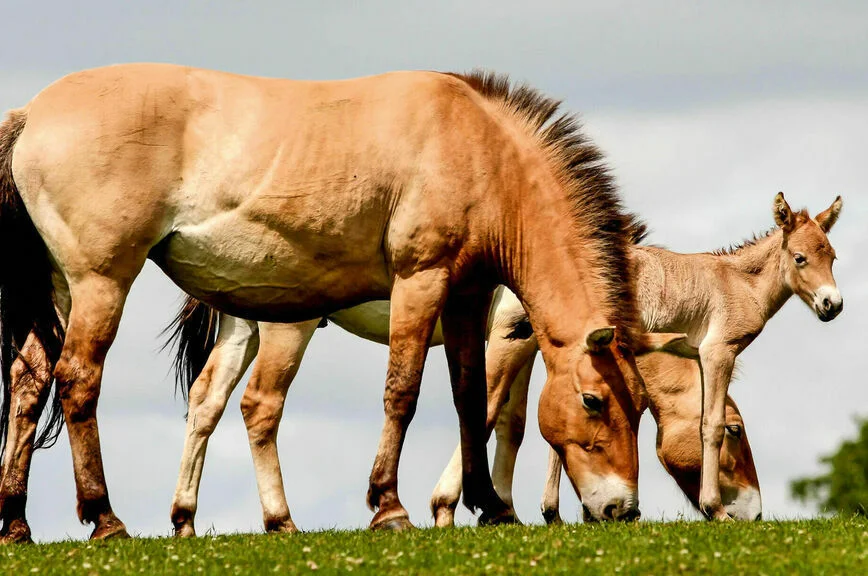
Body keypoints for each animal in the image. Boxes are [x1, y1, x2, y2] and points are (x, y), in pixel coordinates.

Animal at [163, 288, 697, 536]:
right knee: (261, 405)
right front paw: (450, 506)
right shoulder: (506, 333)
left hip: (241, 330)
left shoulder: (526, 348)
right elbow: (485, 409)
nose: (624, 510)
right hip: (286, 328)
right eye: (594, 402)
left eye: (643, 407)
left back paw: (185, 519)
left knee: (206, 401)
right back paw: (281, 521)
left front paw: (502, 508)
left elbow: (515, 424)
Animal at [432, 193, 842, 522]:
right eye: (800, 258)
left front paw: (566, 513)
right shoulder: (717, 352)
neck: (737, 282)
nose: (833, 305)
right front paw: (714, 510)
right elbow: (707, 424)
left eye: (833, 257)